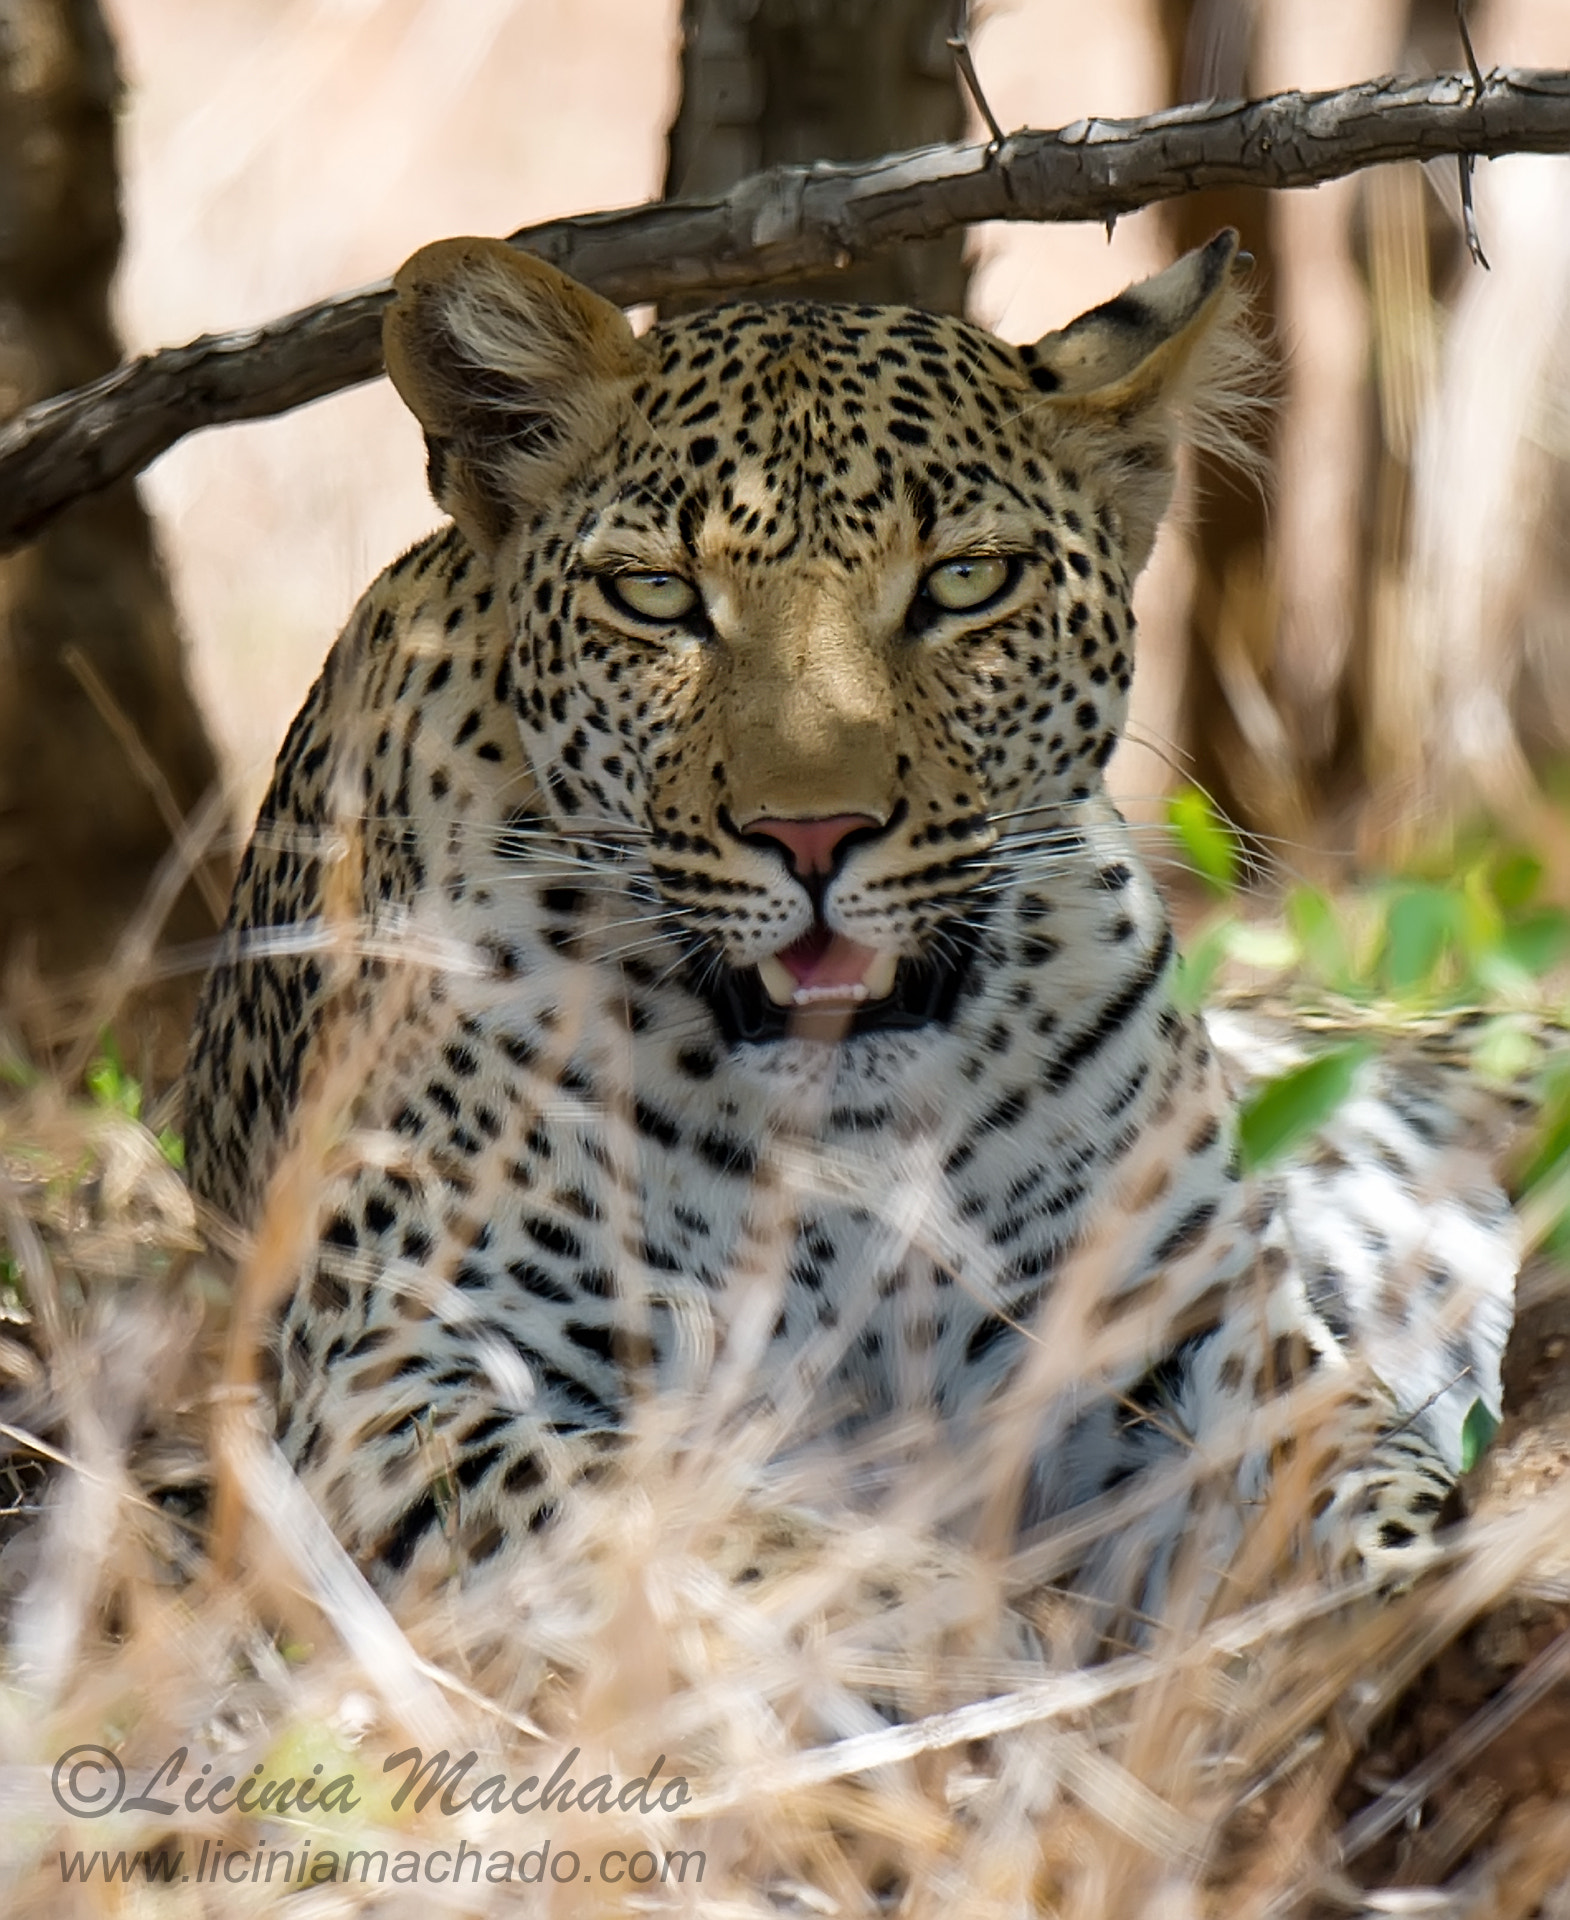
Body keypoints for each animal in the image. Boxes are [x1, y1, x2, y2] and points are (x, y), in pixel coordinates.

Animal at [183, 229, 1521, 1639]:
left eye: (966, 583)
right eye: (656, 596)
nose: (816, 834)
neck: (851, 1144)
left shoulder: (1175, 1332)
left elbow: (1351, 1472)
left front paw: (1414, 1598)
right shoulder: (400, 1372)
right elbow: (713, 1539)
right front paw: (966, 1656)